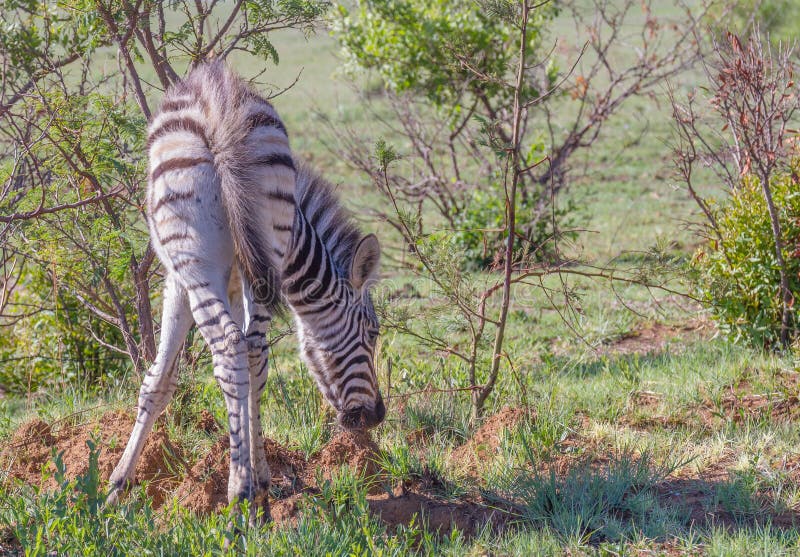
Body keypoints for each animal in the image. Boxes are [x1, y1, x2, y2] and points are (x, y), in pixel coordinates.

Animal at [107, 62, 388, 516]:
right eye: (373, 332)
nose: (376, 416)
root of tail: (219, 116)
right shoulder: (235, 278)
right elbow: (251, 366)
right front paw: (262, 478)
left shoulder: (182, 279)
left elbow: (161, 380)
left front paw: (116, 484)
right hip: (263, 238)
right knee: (250, 346)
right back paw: (249, 488)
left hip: (197, 258)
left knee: (227, 346)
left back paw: (237, 491)